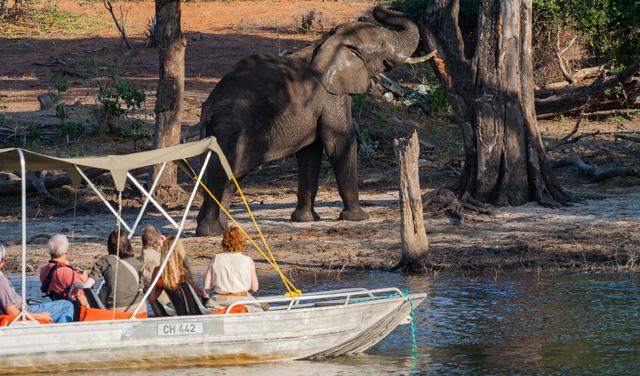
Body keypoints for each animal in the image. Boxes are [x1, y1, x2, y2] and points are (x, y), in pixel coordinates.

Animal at [195, 5, 436, 235]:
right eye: (384, 45)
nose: (366, 14)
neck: (328, 41)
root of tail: (209, 108)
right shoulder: (332, 96)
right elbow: (339, 143)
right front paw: (358, 218)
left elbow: (310, 152)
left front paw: (305, 219)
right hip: (231, 129)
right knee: (223, 170)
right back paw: (211, 231)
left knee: (230, 174)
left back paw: (223, 228)